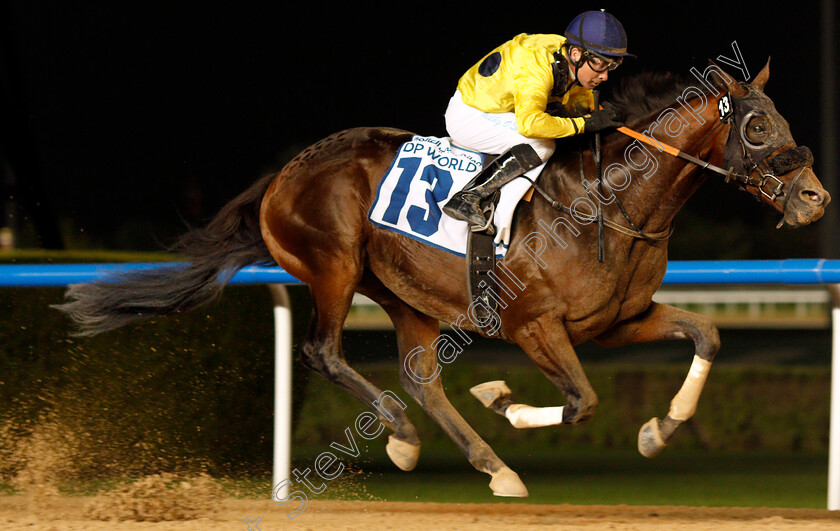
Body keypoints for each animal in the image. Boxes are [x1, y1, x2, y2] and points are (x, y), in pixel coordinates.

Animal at [57, 62, 828, 498]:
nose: (815, 198)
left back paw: (489, 465)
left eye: (782, 119)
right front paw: (504, 400)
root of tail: (285, 172)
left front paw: (656, 431)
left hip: (405, 294)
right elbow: (580, 402)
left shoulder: (615, 322)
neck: (611, 202)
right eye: (757, 127)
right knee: (324, 351)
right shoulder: (533, 325)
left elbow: (708, 333)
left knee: (421, 375)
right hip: (335, 265)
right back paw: (402, 434)